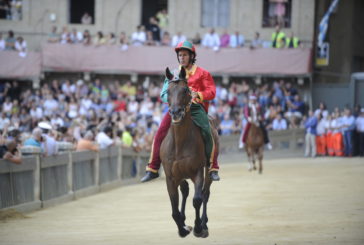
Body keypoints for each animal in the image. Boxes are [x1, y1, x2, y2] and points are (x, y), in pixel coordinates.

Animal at [160, 66, 218, 237]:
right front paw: (183, 228)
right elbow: (174, 209)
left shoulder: (197, 171)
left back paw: (204, 223)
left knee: (205, 193)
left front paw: (198, 227)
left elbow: (197, 199)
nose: (176, 112)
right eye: (168, 91)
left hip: (208, 169)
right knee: (185, 191)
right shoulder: (171, 177)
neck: (180, 143)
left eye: (185, 90)